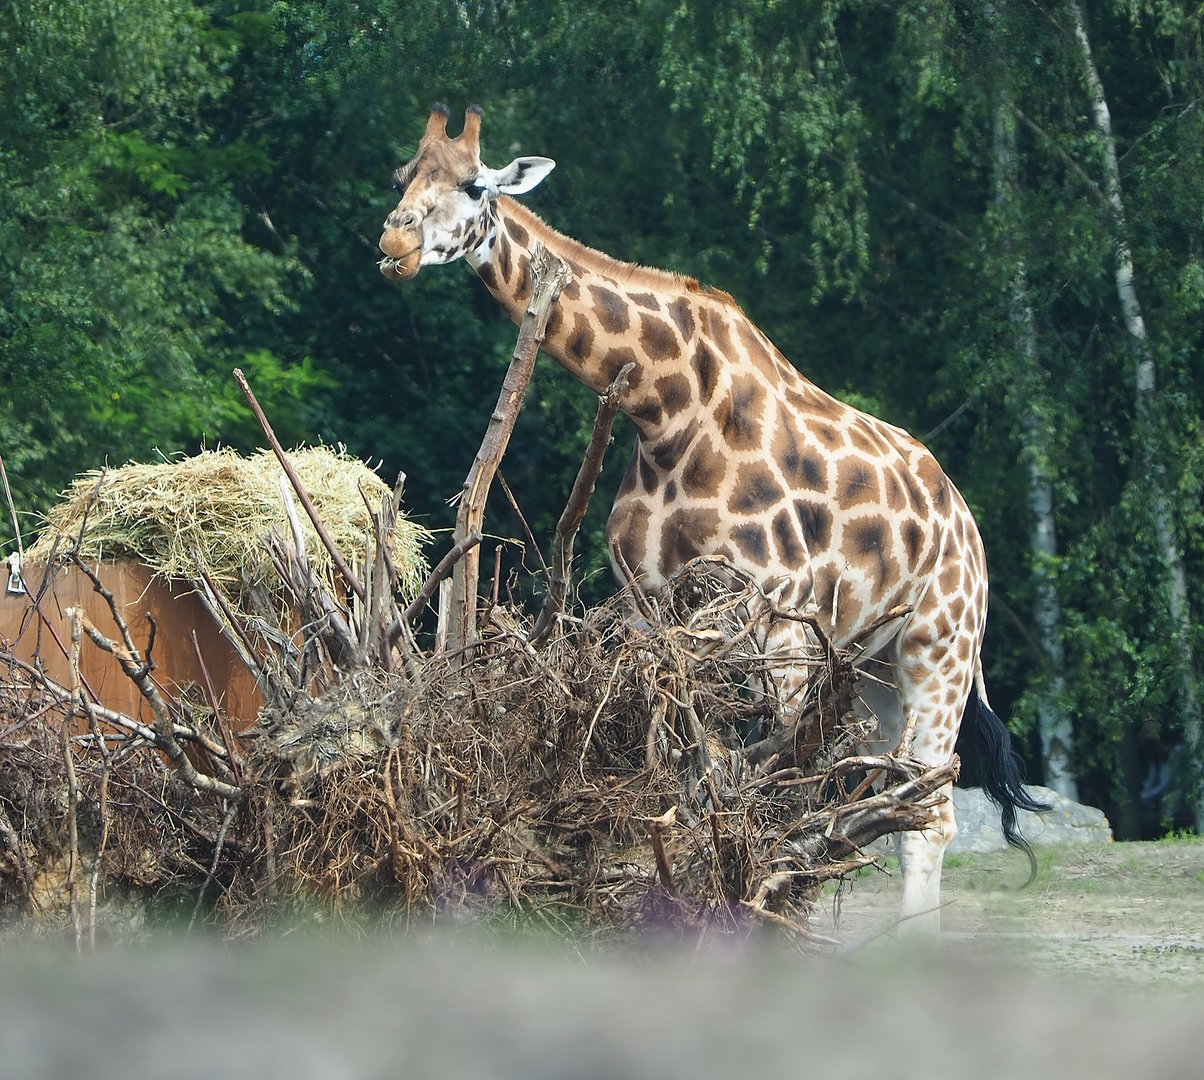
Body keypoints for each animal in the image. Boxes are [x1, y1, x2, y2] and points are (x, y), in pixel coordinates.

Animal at [379, 104, 1048, 930]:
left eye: (474, 185)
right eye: (402, 177)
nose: (395, 244)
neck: (663, 408)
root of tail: (966, 525)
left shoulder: (784, 624)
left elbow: (772, 798)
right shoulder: (655, 612)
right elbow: (684, 789)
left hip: (939, 644)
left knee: (928, 812)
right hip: (876, 664)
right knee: (904, 805)